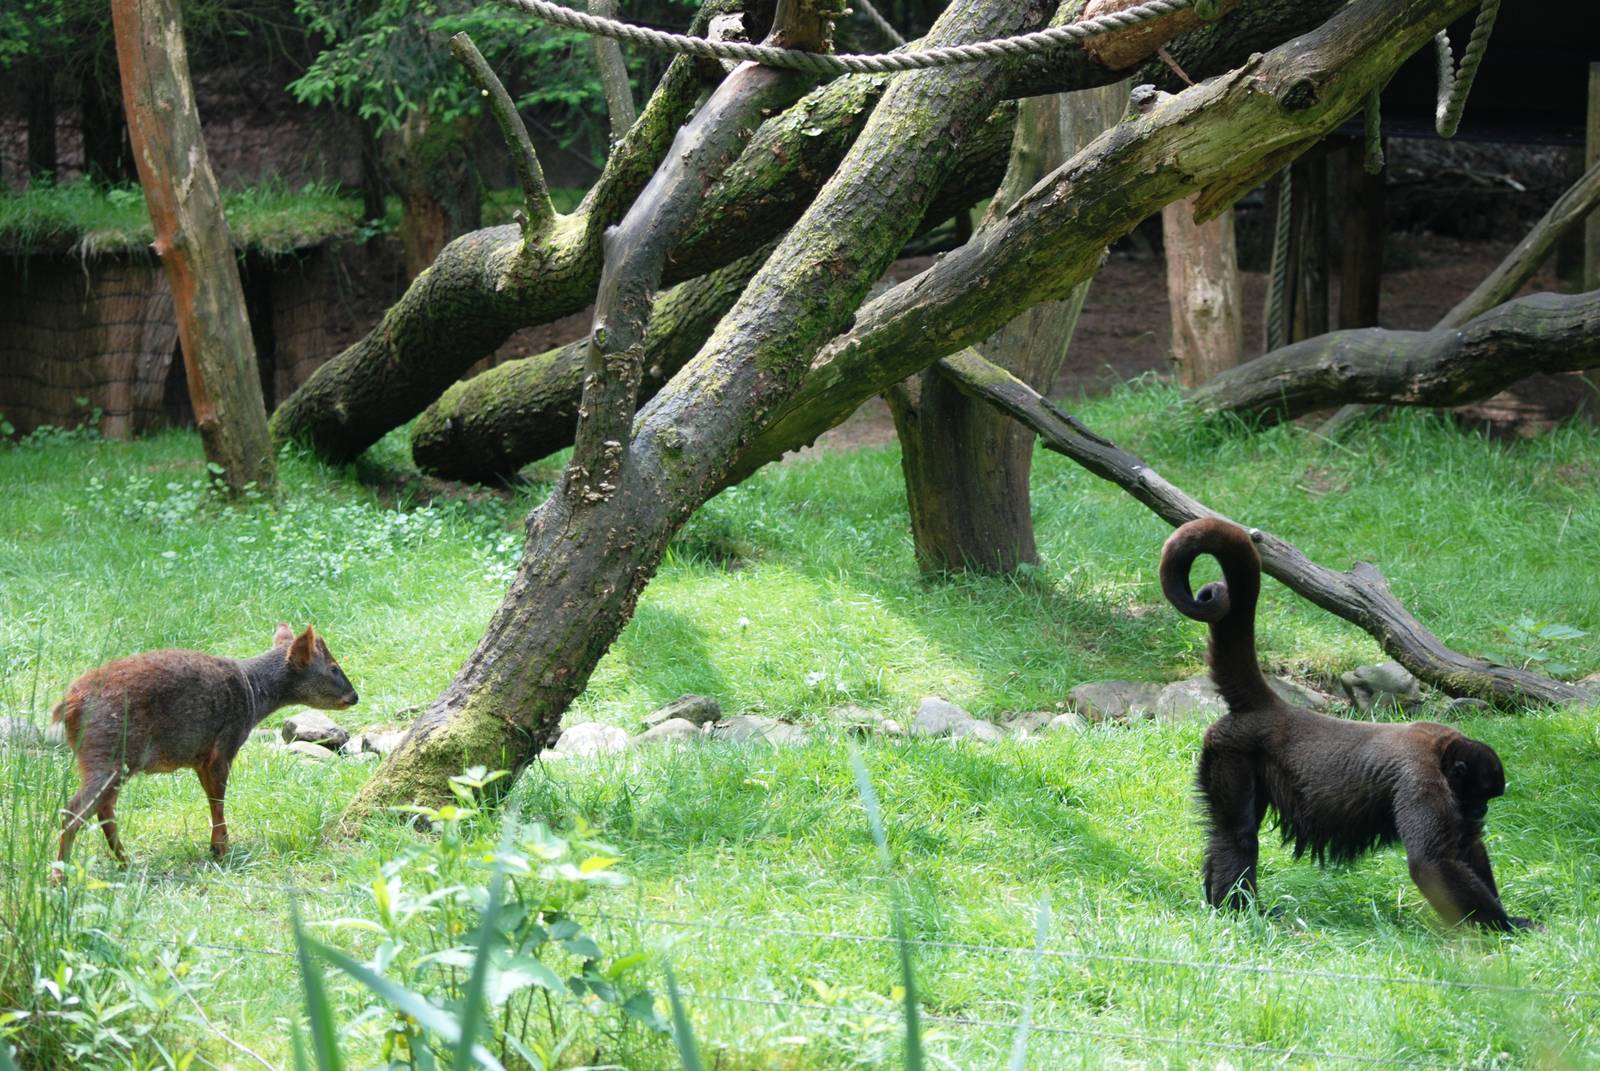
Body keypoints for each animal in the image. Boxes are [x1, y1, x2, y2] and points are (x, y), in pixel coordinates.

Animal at [1159, 517, 1532, 931]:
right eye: (1480, 794)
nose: (1482, 812)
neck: (1441, 751)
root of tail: (1275, 707)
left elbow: (1466, 846)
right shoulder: (1422, 778)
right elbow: (1432, 862)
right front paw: (1508, 925)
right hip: (1231, 754)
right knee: (1237, 834)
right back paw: (1239, 909)